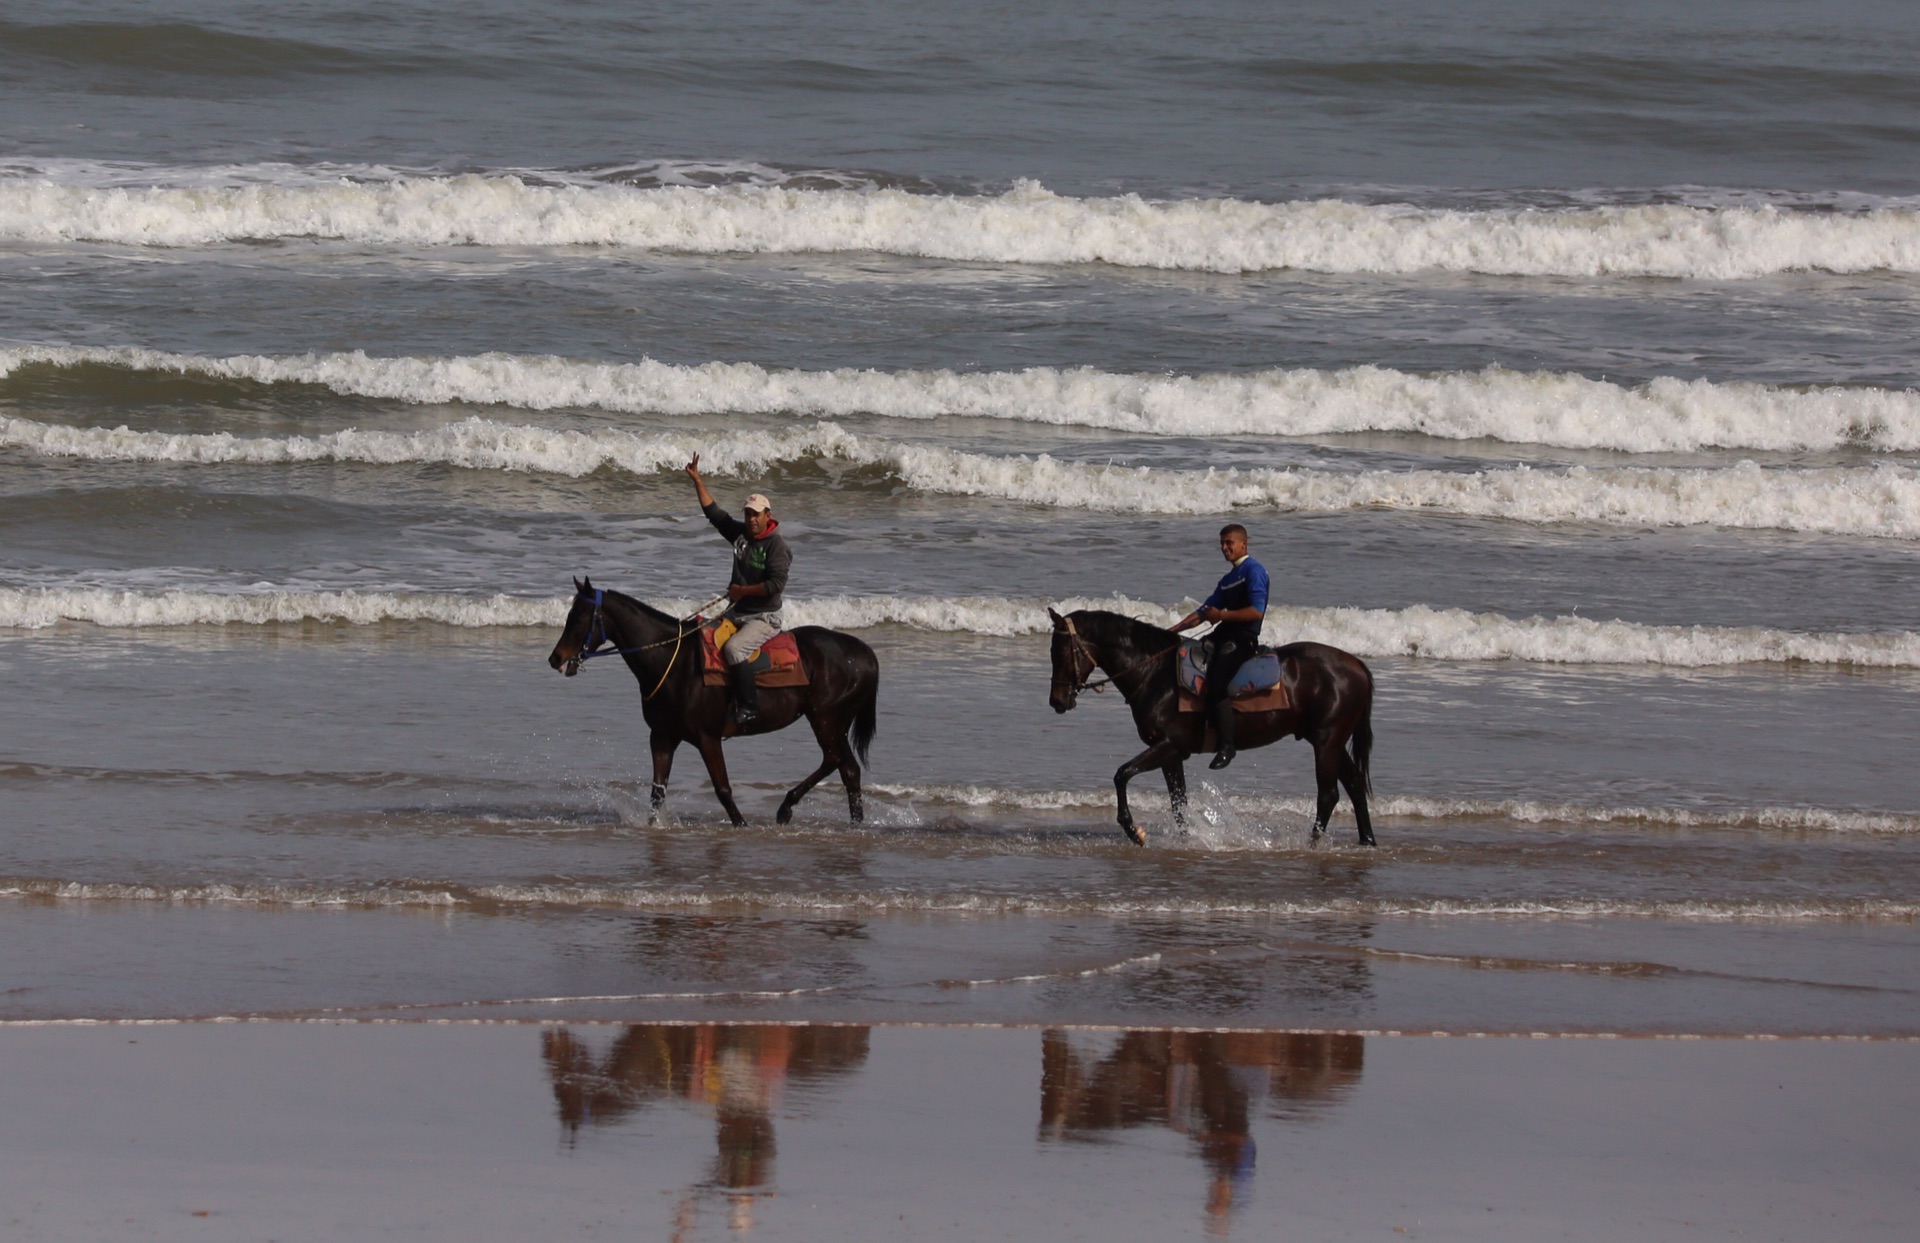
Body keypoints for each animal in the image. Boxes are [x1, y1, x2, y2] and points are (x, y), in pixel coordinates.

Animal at [552, 576, 879, 826]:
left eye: (579, 618)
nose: (555, 658)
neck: (674, 663)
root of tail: (864, 653)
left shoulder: (707, 738)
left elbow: (722, 789)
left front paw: (741, 824)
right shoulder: (662, 736)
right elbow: (658, 792)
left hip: (825, 719)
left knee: (835, 760)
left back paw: (787, 807)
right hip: (832, 722)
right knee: (848, 769)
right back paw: (853, 823)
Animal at [1044, 610, 1374, 845]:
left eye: (1061, 651)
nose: (1057, 701)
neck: (1155, 674)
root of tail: (1355, 664)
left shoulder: (1170, 745)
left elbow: (1122, 775)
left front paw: (1133, 831)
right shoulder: (1171, 755)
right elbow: (1178, 802)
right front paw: (1186, 840)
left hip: (1327, 741)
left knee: (1328, 795)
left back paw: (1312, 844)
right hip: (1331, 741)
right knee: (1355, 784)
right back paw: (1367, 841)